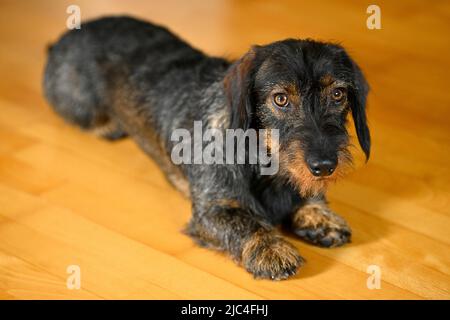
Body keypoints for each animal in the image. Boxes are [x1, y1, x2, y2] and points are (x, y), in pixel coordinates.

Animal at [44, 15, 370, 280]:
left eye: (338, 94)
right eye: (280, 99)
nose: (325, 166)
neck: (264, 166)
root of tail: (63, 39)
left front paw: (319, 214)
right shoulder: (212, 211)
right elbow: (244, 222)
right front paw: (271, 248)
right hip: (80, 107)